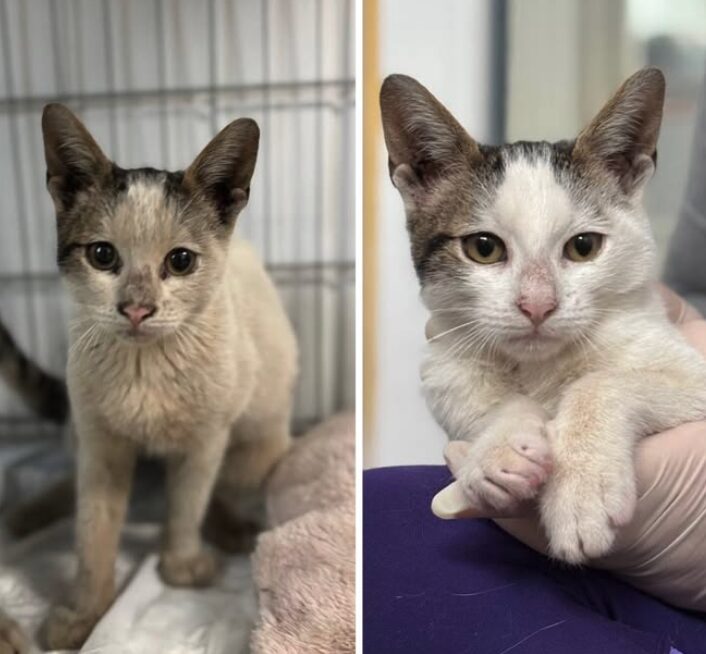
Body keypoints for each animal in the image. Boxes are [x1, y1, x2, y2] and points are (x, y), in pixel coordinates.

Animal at [380, 69, 706, 568]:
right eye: (483, 248)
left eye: (584, 246)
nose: (537, 304)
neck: (543, 367)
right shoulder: (445, 363)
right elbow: (478, 401)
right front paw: (501, 448)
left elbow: (601, 382)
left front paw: (582, 486)